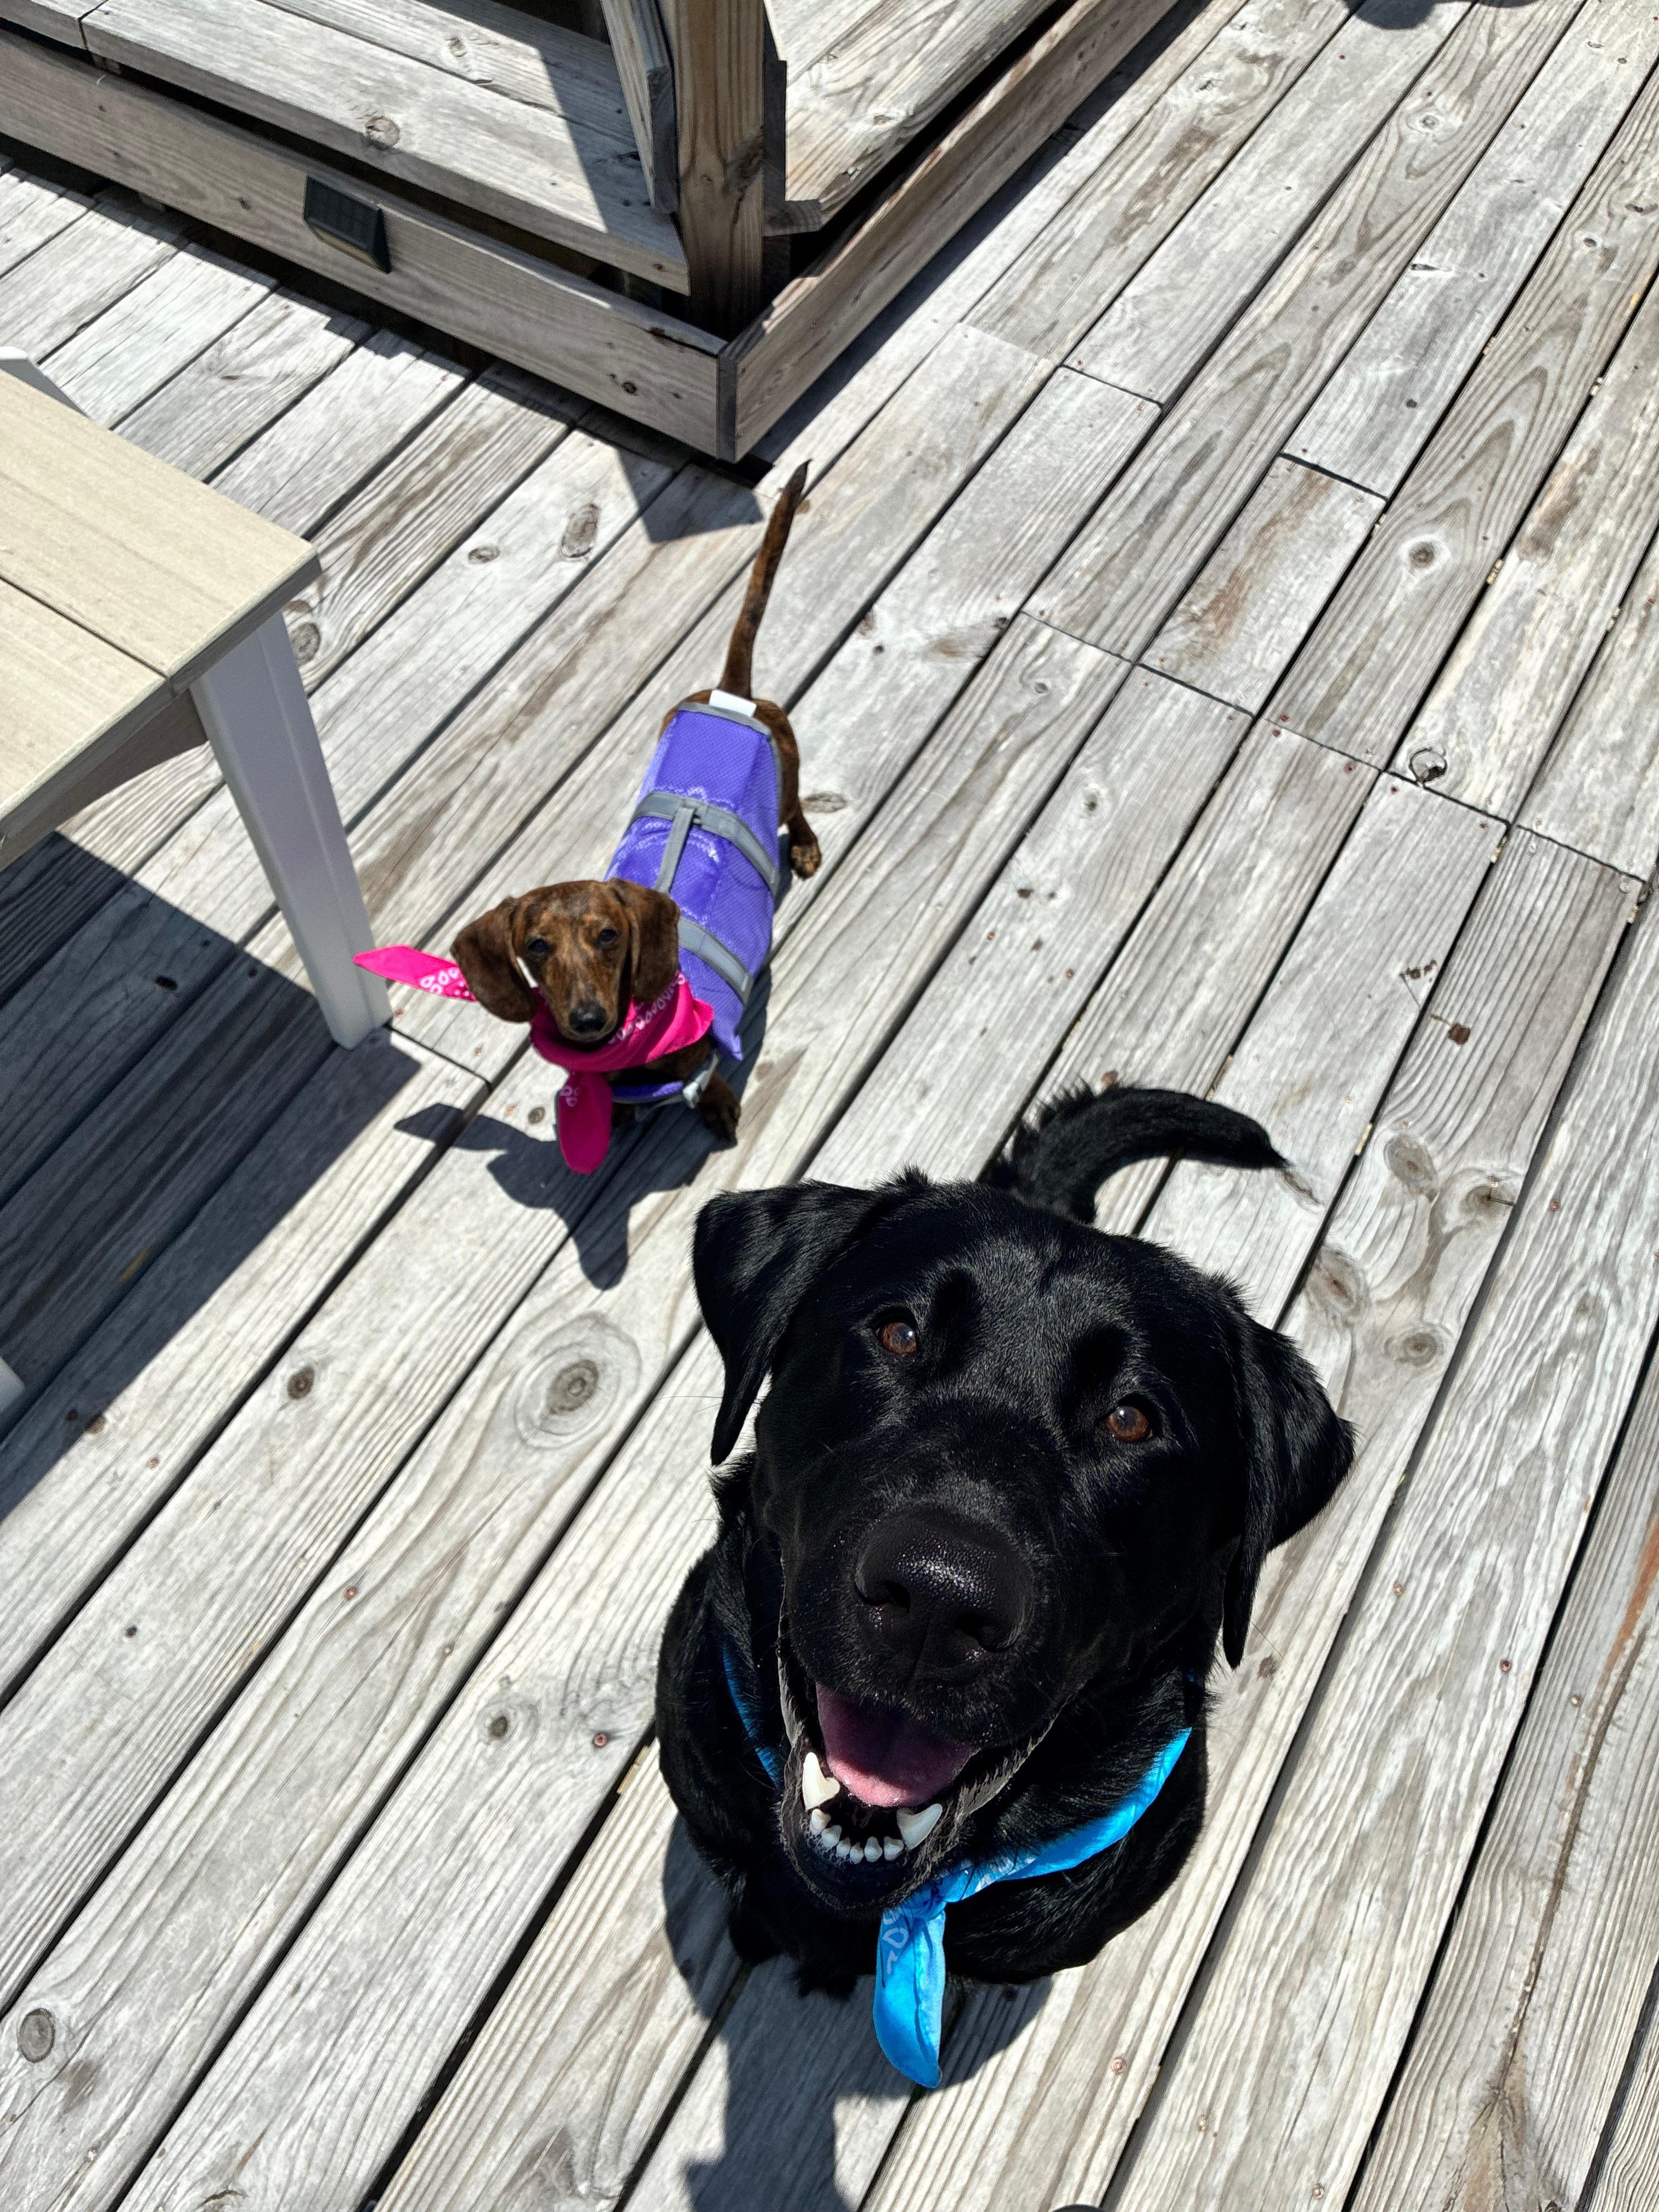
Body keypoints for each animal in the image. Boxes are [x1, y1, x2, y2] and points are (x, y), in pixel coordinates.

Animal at [448, 465, 819, 1167]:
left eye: (609, 936)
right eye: (536, 946)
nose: (588, 1021)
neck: (630, 1045)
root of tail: (731, 695)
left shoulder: (701, 1056)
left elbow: (709, 1079)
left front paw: (718, 1106)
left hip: (787, 769)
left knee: (799, 807)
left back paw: (807, 846)